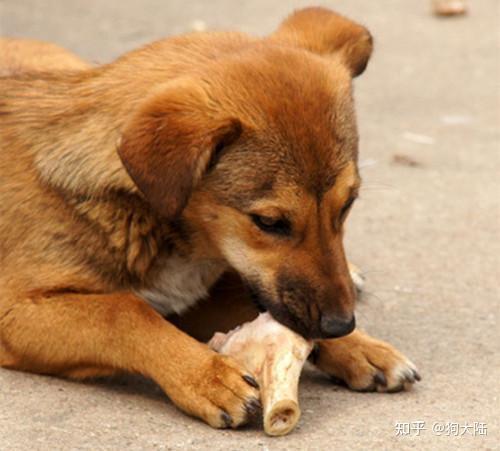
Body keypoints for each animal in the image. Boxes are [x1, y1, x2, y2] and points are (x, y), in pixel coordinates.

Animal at [0, 7, 420, 430]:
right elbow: (124, 311)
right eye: (269, 222)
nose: (340, 325)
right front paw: (209, 377)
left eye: (347, 204)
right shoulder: (14, 312)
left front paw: (360, 348)